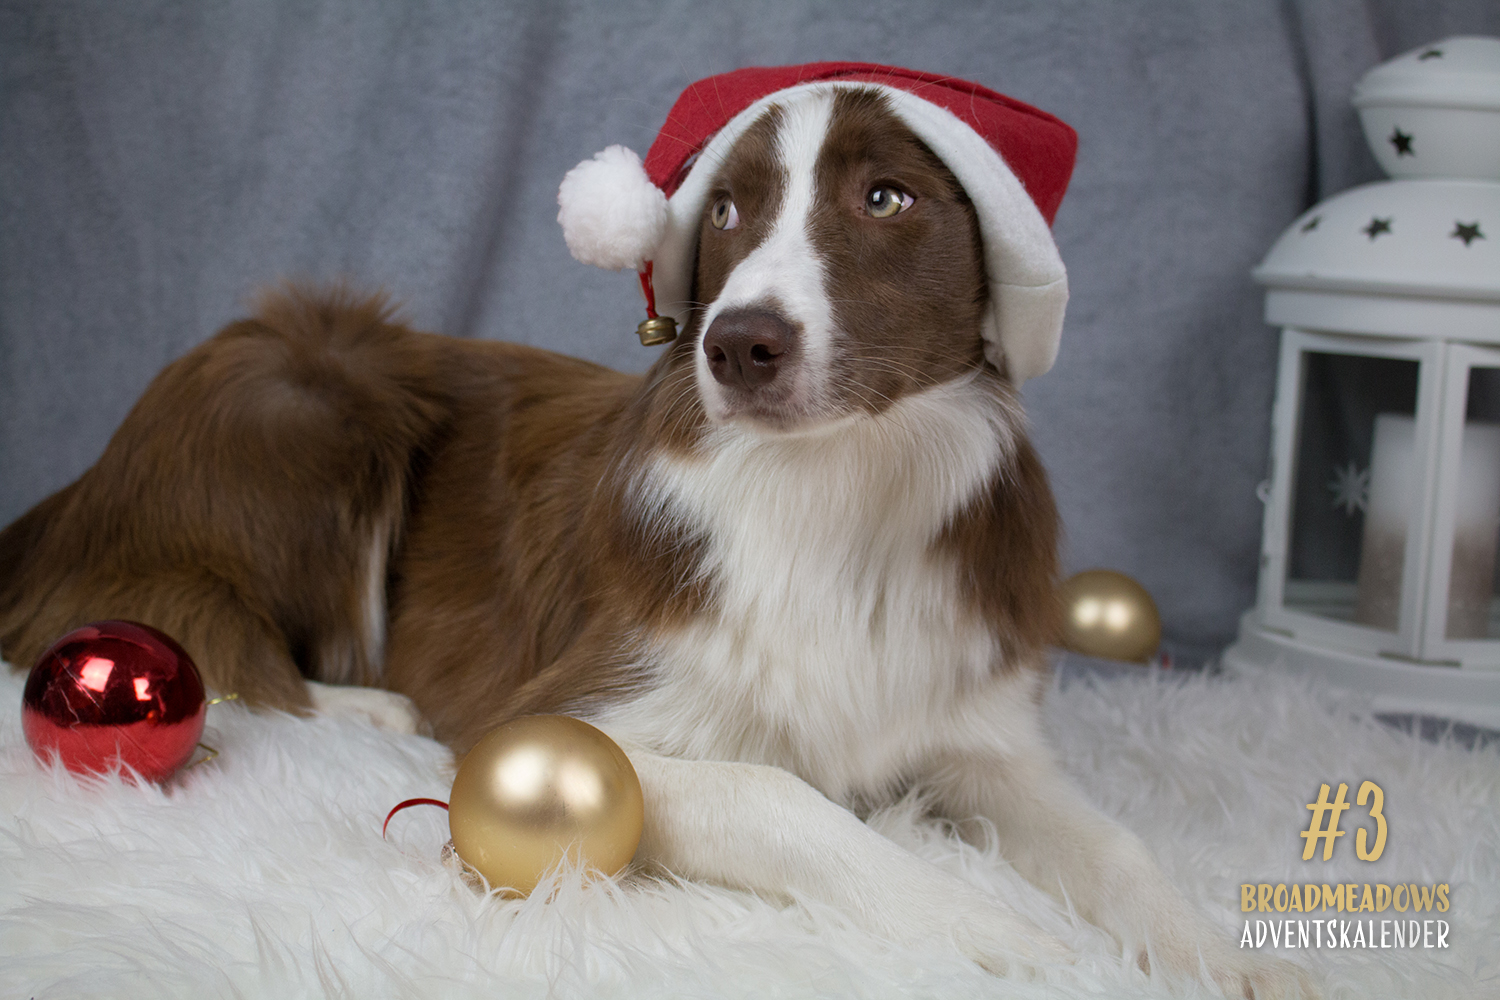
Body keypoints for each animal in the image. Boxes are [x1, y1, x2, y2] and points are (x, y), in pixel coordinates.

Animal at [0, 66, 1308, 995]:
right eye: (726, 209)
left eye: (885, 197)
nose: (738, 344)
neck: (837, 486)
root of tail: (74, 489)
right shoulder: (554, 710)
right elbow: (784, 797)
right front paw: (1005, 933)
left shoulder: (975, 730)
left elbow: (1118, 848)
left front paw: (1226, 959)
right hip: (315, 383)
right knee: (219, 631)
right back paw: (366, 705)